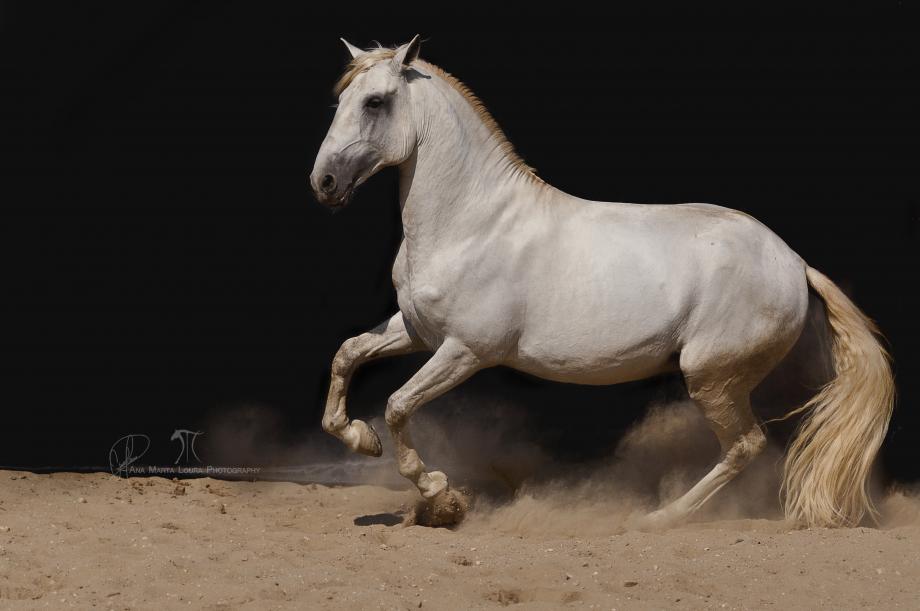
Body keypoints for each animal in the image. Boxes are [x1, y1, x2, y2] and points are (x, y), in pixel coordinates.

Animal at [309, 35, 894, 528]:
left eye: (376, 102)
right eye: (342, 100)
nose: (324, 183)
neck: (473, 223)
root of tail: (794, 261)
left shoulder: (466, 351)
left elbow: (397, 405)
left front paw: (441, 495)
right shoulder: (417, 332)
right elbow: (346, 355)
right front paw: (361, 440)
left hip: (712, 376)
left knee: (745, 446)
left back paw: (660, 518)